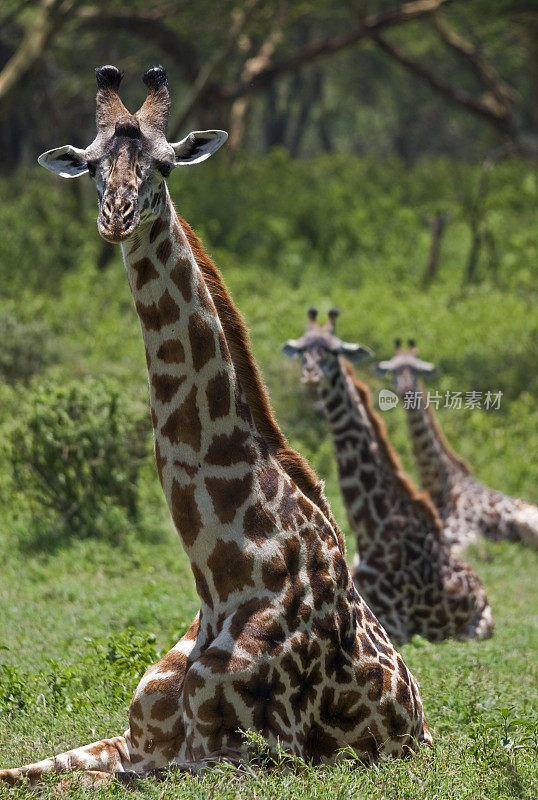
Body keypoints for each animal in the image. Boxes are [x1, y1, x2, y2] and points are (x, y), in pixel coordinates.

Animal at [0, 64, 428, 788]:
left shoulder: (246, 757)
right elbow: (30, 771)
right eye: (91, 164)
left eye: (164, 165)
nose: (117, 217)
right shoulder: (134, 739)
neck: (225, 576)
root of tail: (424, 725)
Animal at [282, 310, 492, 648]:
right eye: (302, 349)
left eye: (333, 351)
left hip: (478, 627)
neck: (373, 531)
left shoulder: (396, 626)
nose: (311, 375)